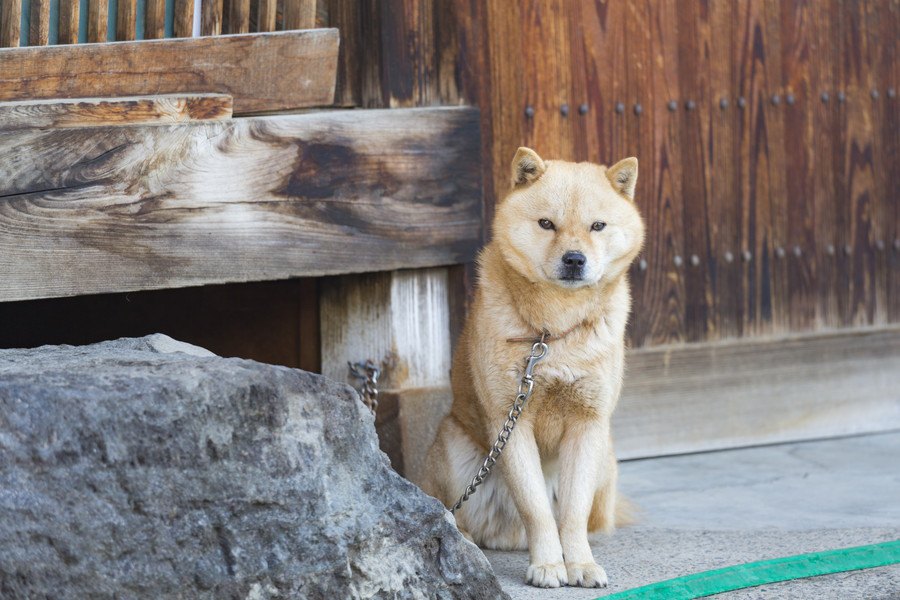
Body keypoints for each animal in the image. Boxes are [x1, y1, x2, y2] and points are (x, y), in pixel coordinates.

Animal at [418, 148, 644, 588]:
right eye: (547, 224)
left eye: (597, 226)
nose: (574, 259)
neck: (551, 332)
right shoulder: (510, 421)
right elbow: (537, 509)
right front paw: (548, 566)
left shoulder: (587, 423)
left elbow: (570, 513)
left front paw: (580, 565)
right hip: (455, 451)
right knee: (457, 514)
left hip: (606, 455)